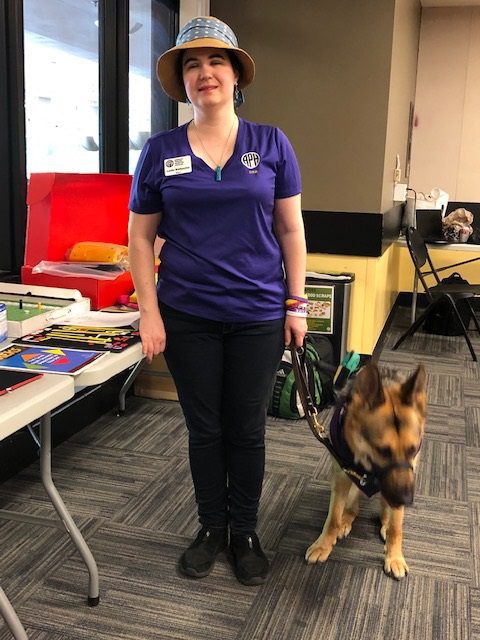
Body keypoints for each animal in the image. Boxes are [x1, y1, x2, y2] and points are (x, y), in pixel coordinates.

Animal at [306, 362, 426, 576]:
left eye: (412, 449)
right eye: (382, 451)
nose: (406, 500)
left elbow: (397, 527)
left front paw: (394, 556)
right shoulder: (341, 477)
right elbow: (333, 518)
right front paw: (323, 544)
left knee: (386, 511)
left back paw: (385, 523)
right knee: (351, 508)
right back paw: (346, 520)